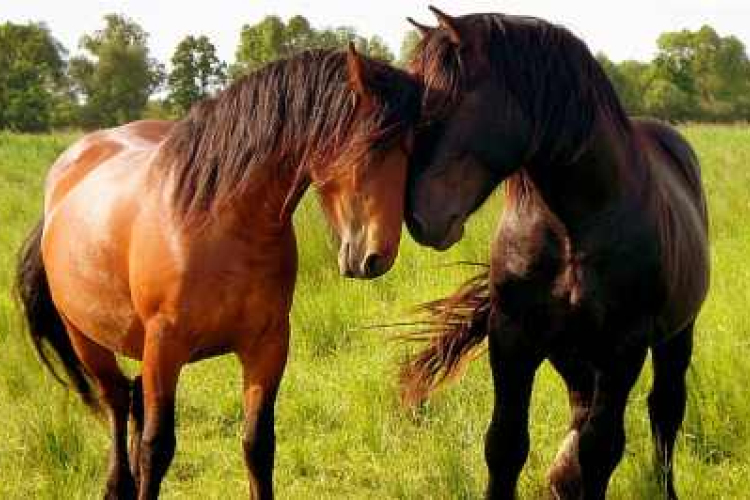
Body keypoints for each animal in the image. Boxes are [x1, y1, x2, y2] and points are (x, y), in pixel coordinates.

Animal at [16, 45, 424, 498]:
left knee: (132, 398)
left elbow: (258, 444)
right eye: (370, 145)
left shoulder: (268, 344)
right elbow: (157, 447)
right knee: (117, 402)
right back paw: (118, 483)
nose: (375, 256)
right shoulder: (165, 346)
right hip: (86, 338)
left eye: (413, 149)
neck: (217, 221)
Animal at [402, 7, 708, 500]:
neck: (570, 229)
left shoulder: (624, 346)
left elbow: (601, 450)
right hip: (572, 354)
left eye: (443, 101)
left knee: (664, 409)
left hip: (675, 335)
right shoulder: (512, 335)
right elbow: (505, 445)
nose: (417, 215)